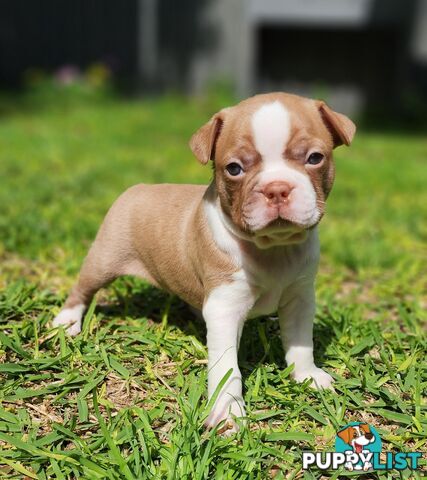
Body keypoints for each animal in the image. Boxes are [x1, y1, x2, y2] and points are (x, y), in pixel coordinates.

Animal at [53, 92, 356, 430]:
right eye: (234, 168)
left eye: (315, 158)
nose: (276, 188)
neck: (273, 249)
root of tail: (138, 188)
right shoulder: (225, 306)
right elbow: (226, 368)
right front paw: (228, 411)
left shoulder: (300, 297)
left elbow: (302, 342)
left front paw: (306, 376)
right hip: (104, 258)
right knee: (83, 288)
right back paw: (66, 321)